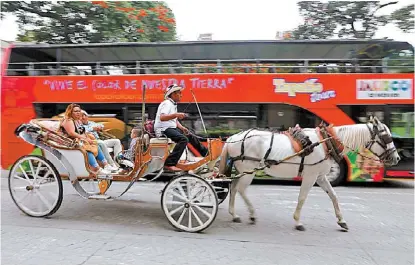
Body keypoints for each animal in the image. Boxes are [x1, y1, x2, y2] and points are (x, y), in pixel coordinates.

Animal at [219, 116, 402, 230]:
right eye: (386, 137)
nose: (397, 158)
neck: (327, 142)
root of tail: (232, 138)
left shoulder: (320, 177)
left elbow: (333, 195)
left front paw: (341, 220)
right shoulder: (310, 176)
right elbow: (302, 198)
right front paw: (298, 221)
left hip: (242, 170)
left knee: (233, 187)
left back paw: (234, 214)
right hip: (248, 170)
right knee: (240, 189)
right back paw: (251, 214)